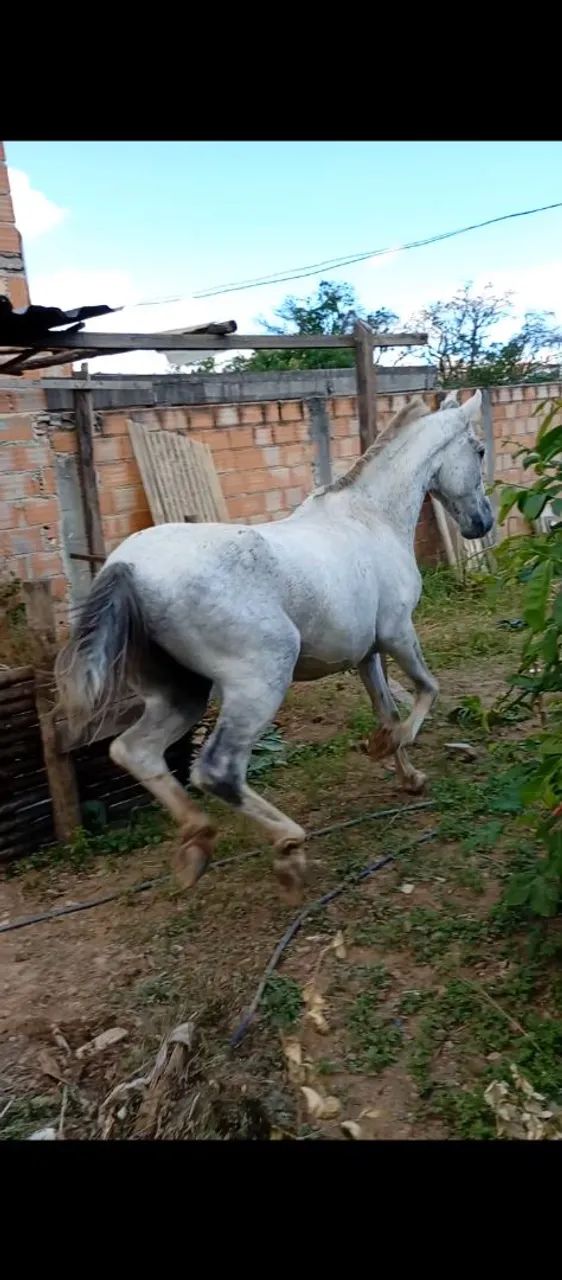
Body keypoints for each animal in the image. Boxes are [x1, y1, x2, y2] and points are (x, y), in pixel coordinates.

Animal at [55, 387, 493, 897]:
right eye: (478, 450)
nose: (482, 523)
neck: (370, 518)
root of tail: (127, 567)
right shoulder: (398, 633)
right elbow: (427, 690)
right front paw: (394, 745)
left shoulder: (365, 653)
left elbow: (385, 709)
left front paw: (408, 775)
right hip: (261, 680)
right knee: (217, 770)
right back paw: (289, 846)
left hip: (181, 693)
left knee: (135, 751)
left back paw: (197, 845)